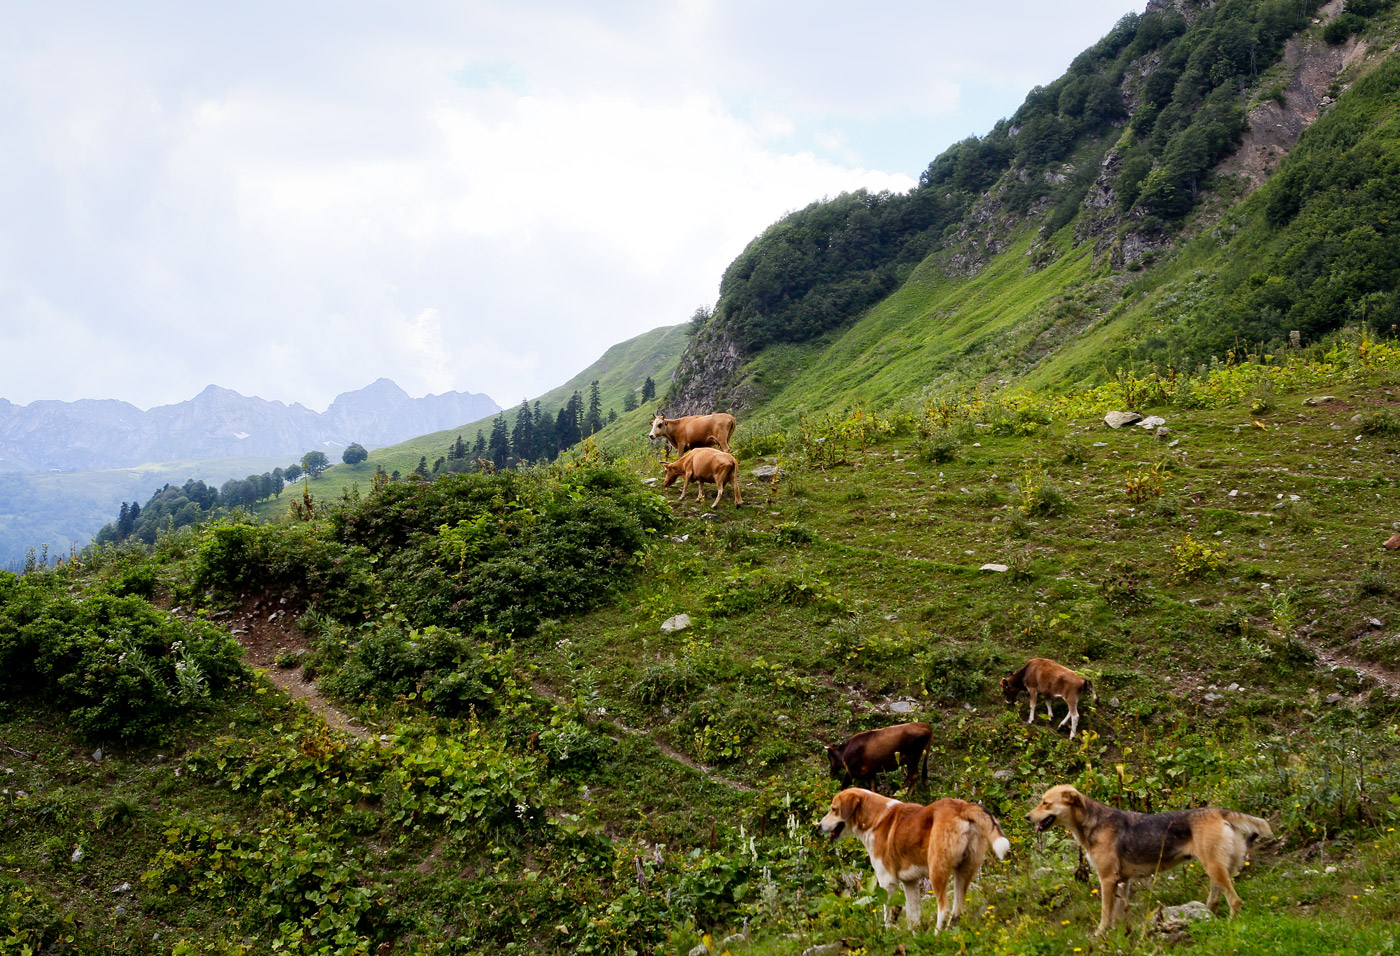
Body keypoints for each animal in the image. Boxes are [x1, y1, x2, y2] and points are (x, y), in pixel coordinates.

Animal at [817, 789, 1013, 929]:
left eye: (834, 809)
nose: (818, 826)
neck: (875, 818)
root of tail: (961, 807)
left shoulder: (887, 881)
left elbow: (887, 913)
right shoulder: (910, 882)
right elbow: (913, 916)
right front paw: (914, 936)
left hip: (936, 871)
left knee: (944, 908)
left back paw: (937, 935)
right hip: (964, 870)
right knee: (957, 909)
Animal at [1030, 789, 1271, 940]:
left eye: (1045, 803)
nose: (1026, 817)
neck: (1093, 822)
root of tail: (1218, 811)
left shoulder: (1107, 880)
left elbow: (1105, 913)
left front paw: (1101, 934)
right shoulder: (1122, 882)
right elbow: (1117, 913)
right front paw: (1118, 934)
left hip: (1214, 868)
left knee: (1235, 901)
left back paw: (1230, 926)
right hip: (1216, 868)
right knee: (1217, 898)